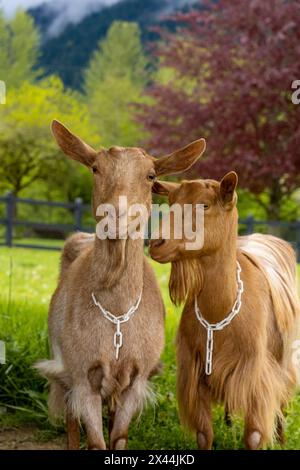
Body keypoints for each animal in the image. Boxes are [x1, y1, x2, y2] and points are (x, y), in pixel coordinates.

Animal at [35, 119, 206, 450]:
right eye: (95, 168)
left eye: (151, 175)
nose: (116, 215)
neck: (116, 316)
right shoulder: (82, 375)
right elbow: (95, 441)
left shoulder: (135, 380)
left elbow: (118, 437)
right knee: (71, 422)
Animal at [150, 174, 300, 450]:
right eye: (172, 202)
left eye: (205, 205)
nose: (156, 244)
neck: (219, 314)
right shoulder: (195, 371)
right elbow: (203, 434)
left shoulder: (257, 376)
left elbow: (254, 435)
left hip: (285, 356)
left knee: (283, 400)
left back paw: (282, 439)